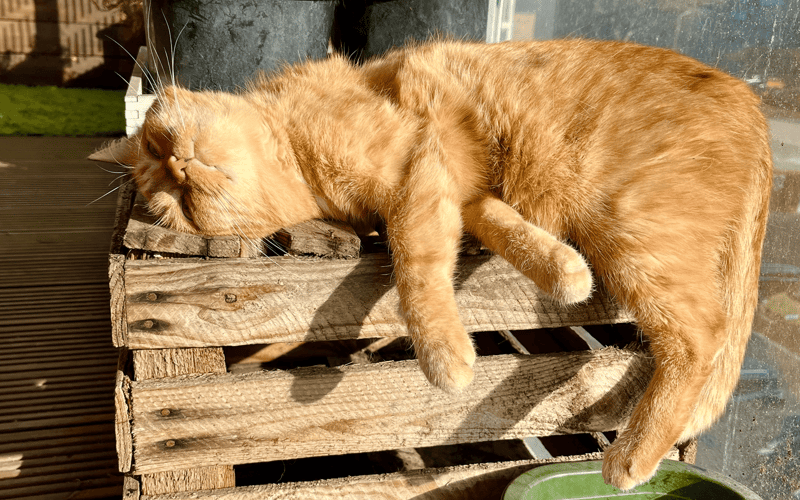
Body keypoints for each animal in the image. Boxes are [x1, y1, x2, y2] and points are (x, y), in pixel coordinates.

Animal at [100, 40, 768, 492]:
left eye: (158, 149)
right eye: (174, 199)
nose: (178, 166)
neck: (299, 159)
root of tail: (753, 101)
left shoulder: (415, 172)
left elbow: (415, 268)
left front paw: (445, 357)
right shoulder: (457, 192)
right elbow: (502, 229)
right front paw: (564, 271)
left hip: (633, 228)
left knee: (701, 337)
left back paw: (630, 459)